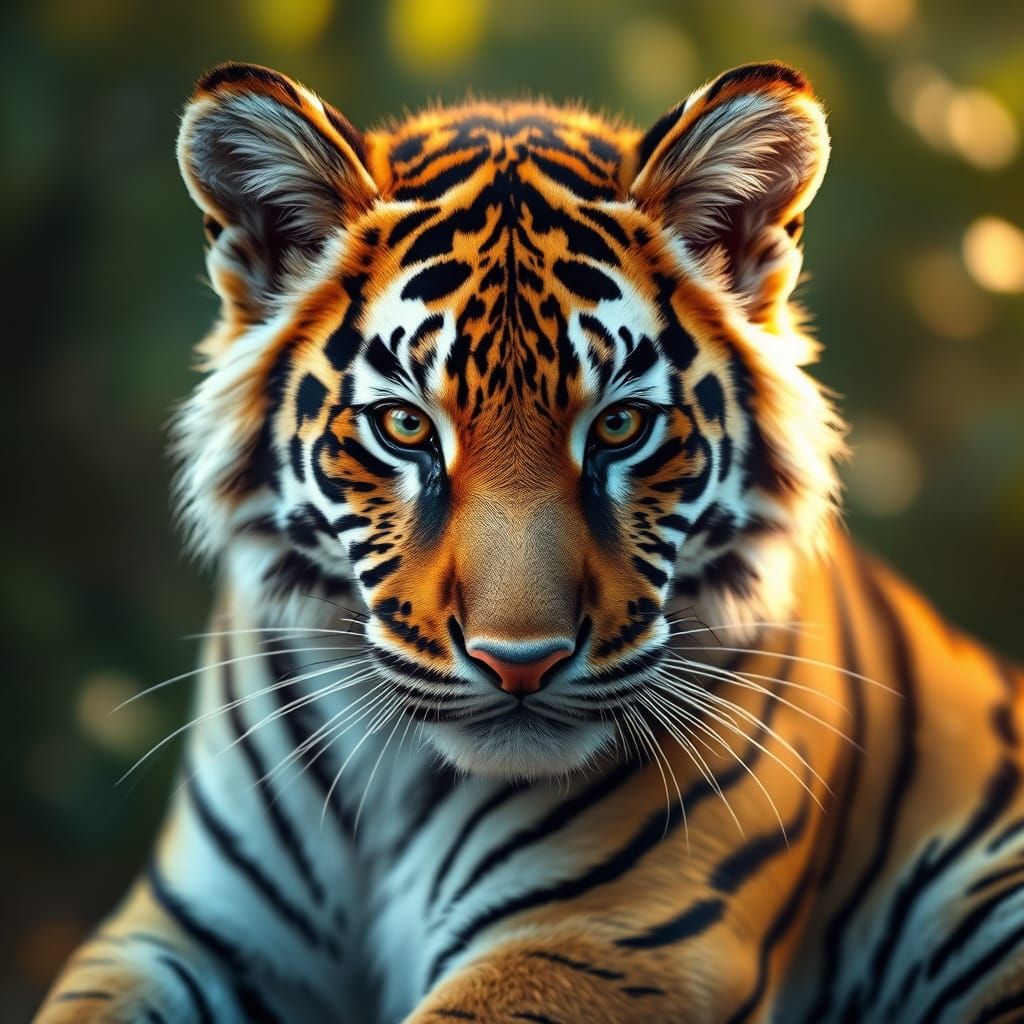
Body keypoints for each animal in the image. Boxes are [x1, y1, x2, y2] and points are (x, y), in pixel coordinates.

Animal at [36, 59, 1024, 1023]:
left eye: (620, 426)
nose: (521, 663)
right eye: (405, 426)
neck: (392, 785)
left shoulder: (606, 938)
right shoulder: (177, 931)